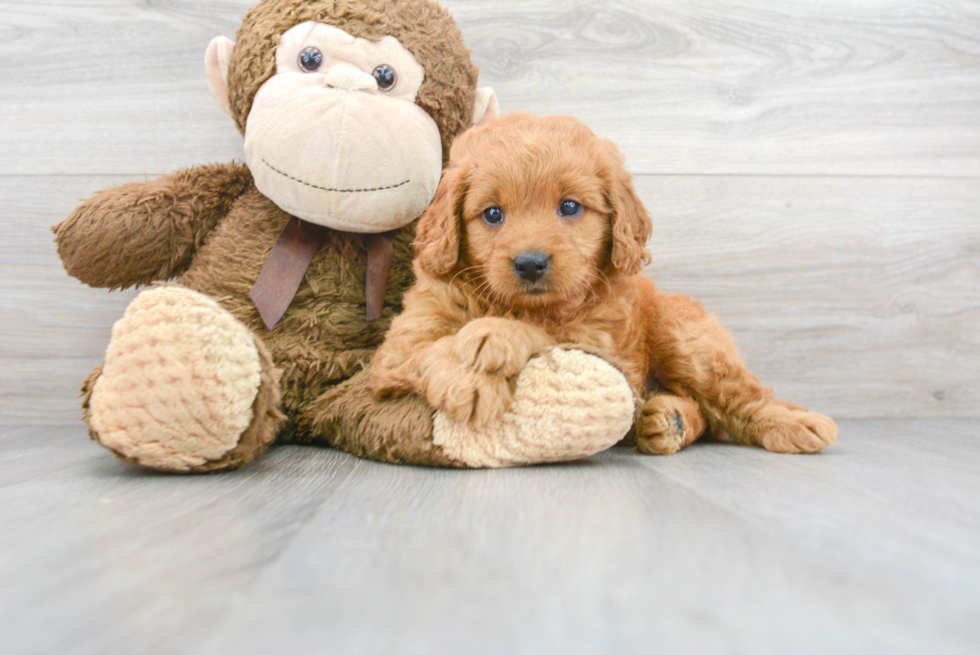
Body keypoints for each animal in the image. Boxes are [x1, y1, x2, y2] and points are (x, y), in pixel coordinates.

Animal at [372, 114, 840, 456]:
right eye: (492, 214)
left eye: (570, 207)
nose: (530, 263)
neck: (517, 303)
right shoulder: (397, 349)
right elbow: (428, 348)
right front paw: (468, 380)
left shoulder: (601, 348)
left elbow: (544, 333)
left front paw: (494, 337)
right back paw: (668, 420)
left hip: (685, 336)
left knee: (738, 396)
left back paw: (792, 423)